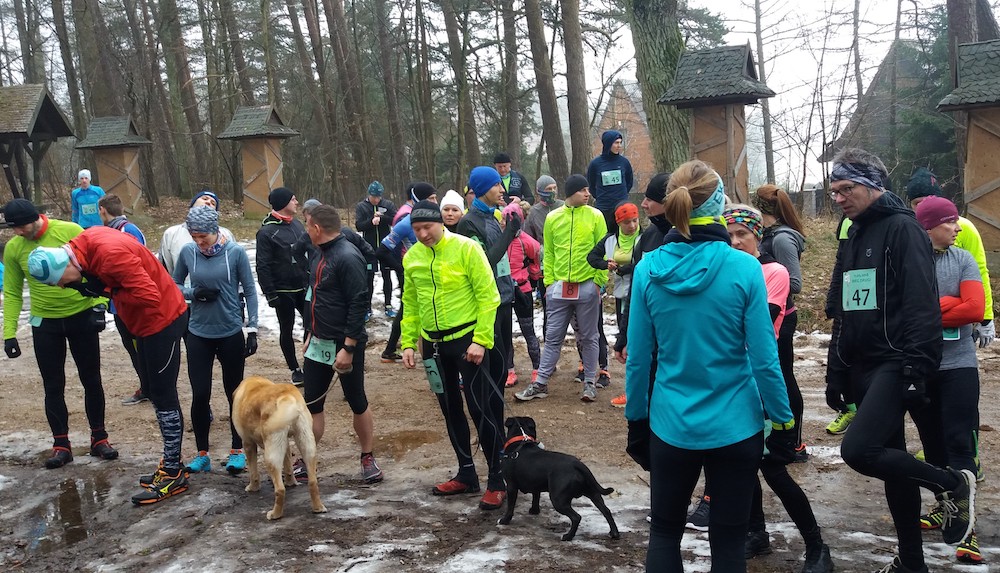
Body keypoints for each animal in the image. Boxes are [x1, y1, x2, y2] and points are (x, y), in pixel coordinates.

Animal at [232, 376, 327, 520]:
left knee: (280, 490)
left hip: (271, 455)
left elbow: (253, 472)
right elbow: (288, 467)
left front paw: (253, 487)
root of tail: (287, 396)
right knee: (312, 482)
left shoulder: (248, 443)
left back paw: (275, 514)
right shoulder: (286, 443)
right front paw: (291, 482)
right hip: (307, 446)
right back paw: (318, 508)